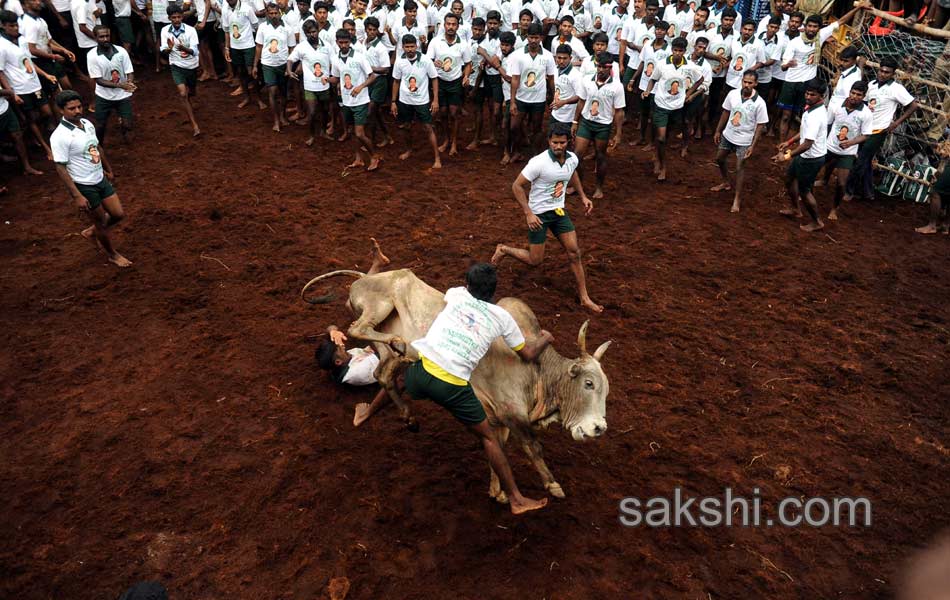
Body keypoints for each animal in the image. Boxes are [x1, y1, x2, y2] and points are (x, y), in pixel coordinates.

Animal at [304, 268, 616, 502]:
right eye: (589, 384)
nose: (599, 428)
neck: (537, 370)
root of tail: (364, 277)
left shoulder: (495, 417)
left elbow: (497, 448)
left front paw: (497, 491)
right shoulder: (511, 411)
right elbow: (532, 446)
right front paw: (552, 486)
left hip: (387, 351)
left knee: (384, 373)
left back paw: (407, 413)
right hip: (379, 307)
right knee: (358, 329)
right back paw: (398, 344)